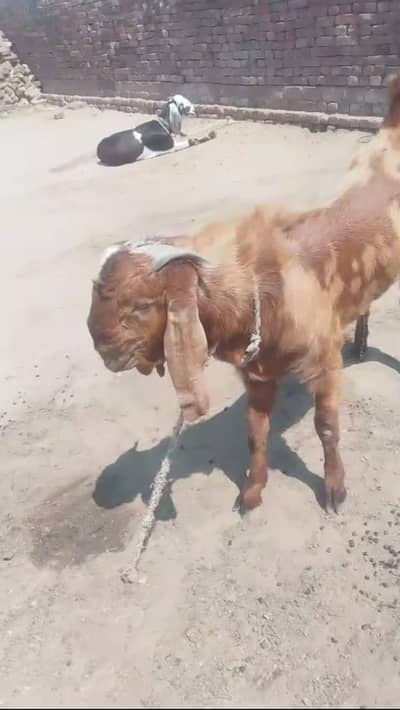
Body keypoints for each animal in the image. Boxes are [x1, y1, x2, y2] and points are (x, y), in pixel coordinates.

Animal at [88, 76, 400, 514]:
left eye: (142, 305)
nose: (100, 344)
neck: (264, 287)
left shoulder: (324, 362)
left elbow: (326, 427)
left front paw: (335, 489)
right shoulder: (256, 377)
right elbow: (255, 432)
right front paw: (251, 492)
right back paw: (359, 342)